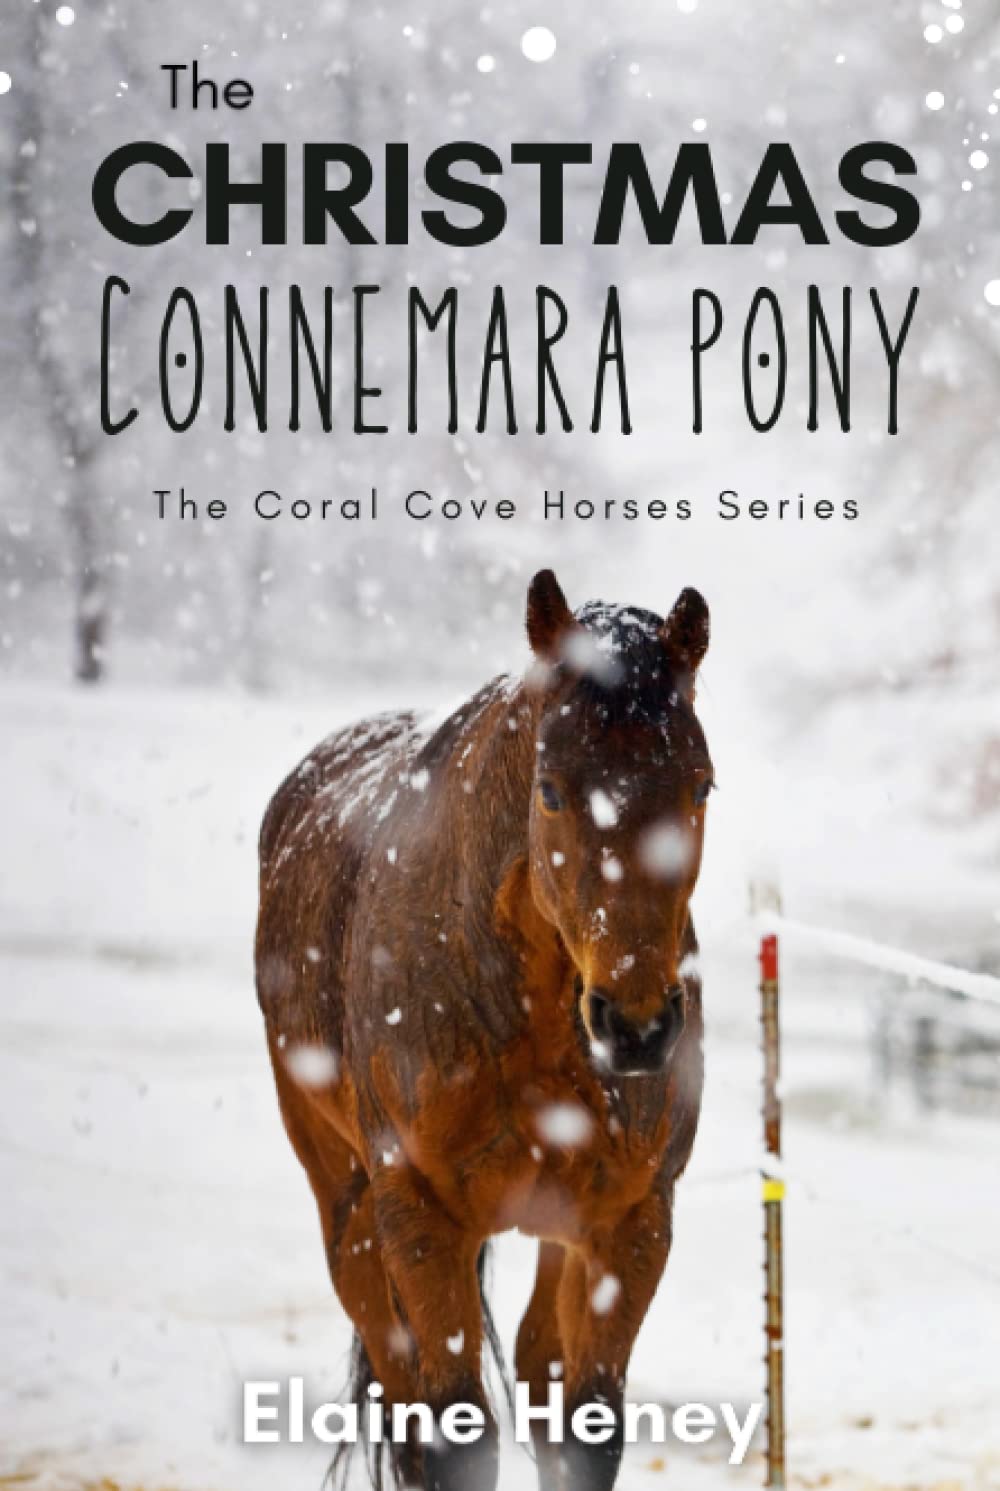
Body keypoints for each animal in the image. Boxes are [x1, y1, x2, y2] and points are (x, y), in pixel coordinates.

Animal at [254, 569, 714, 1491]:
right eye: (552, 790)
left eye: (701, 786)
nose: (637, 1025)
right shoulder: (421, 1219)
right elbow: (455, 1434)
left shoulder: (630, 1221)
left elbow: (585, 1427)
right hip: (349, 1213)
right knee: (405, 1402)